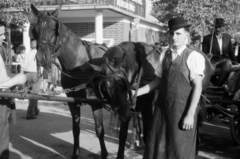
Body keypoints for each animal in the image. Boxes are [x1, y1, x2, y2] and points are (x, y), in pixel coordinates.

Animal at [30, 3, 109, 159]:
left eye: (54, 29)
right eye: (35, 30)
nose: (42, 57)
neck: (79, 63)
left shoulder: (96, 103)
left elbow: (99, 130)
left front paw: (104, 153)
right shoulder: (72, 101)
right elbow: (76, 129)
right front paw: (75, 153)